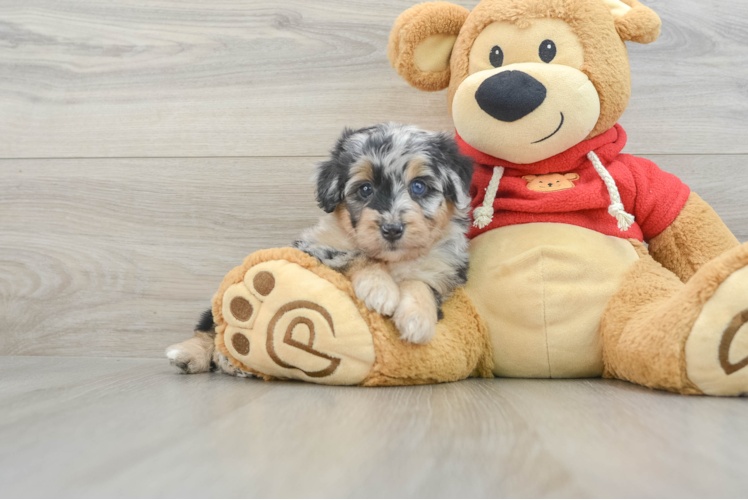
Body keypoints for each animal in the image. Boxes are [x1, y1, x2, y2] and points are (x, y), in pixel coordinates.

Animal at [168, 123, 474, 376]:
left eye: (419, 186)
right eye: (365, 189)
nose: (392, 229)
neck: (393, 260)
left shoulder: (444, 271)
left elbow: (421, 283)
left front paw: (417, 319)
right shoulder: (317, 251)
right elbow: (357, 257)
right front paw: (380, 290)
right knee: (210, 328)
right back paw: (195, 355)